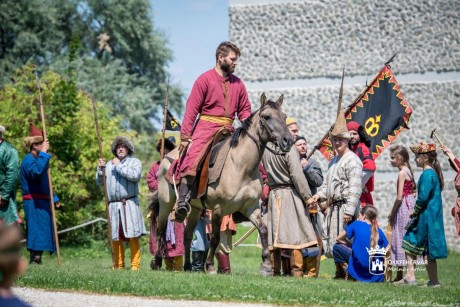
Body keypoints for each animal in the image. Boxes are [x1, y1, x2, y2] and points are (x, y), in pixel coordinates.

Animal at [154, 92, 292, 276]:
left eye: (284, 116)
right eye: (267, 116)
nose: (288, 140)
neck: (240, 166)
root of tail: (167, 158)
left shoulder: (251, 207)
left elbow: (263, 230)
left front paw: (266, 266)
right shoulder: (218, 209)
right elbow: (214, 238)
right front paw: (210, 266)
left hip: (195, 209)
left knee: (188, 235)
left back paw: (188, 266)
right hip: (166, 202)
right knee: (160, 229)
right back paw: (156, 262)